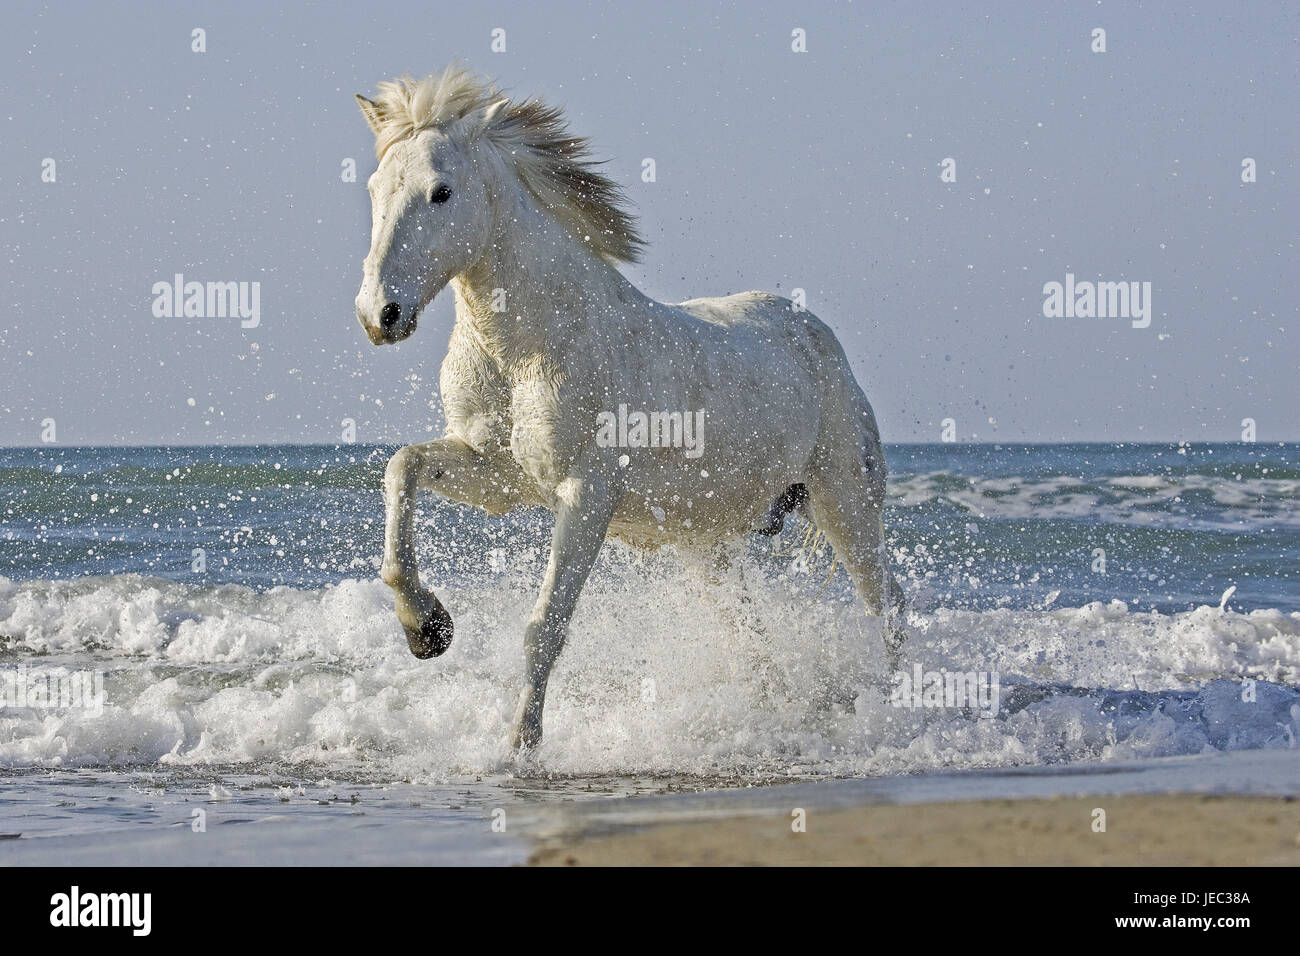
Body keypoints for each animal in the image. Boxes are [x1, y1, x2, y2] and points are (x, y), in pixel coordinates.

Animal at [356, 69, 904, 754]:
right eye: (374, 189)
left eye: (441, 192)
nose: (379, 314)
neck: (528, 345)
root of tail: (817, 334)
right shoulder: (497, 475)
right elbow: (401, 469)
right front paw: (426, 628)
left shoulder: (586, 492)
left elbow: (545, 626)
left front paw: (520, 746)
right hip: (707, 545)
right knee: (751, 638)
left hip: (845, 502)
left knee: (886, 603)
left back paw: (891, 708)